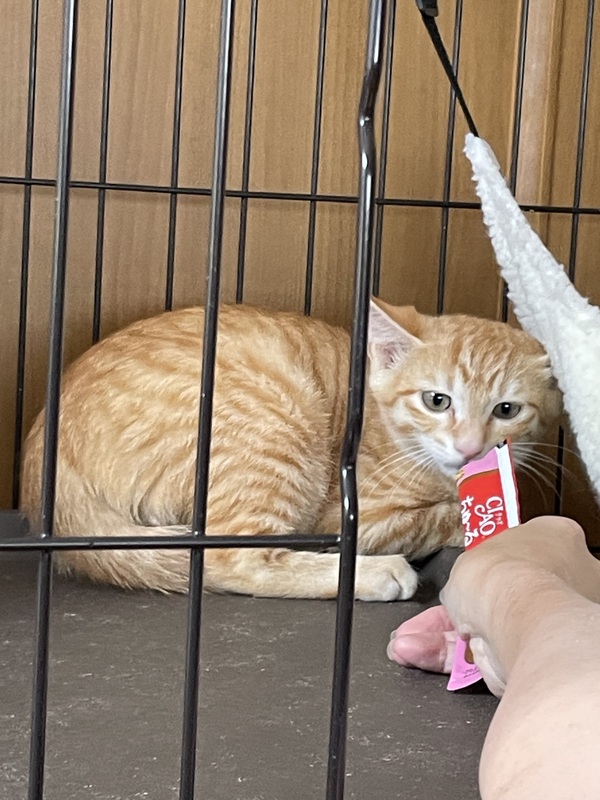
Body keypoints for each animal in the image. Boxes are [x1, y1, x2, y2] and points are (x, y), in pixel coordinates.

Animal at [20, 298, 561, 601]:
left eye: (507, 410)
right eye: (437, 400)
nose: (471, 447)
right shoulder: (356, 515)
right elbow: (437, 517)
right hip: (276, 424)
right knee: (229, 558)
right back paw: (374, 575)